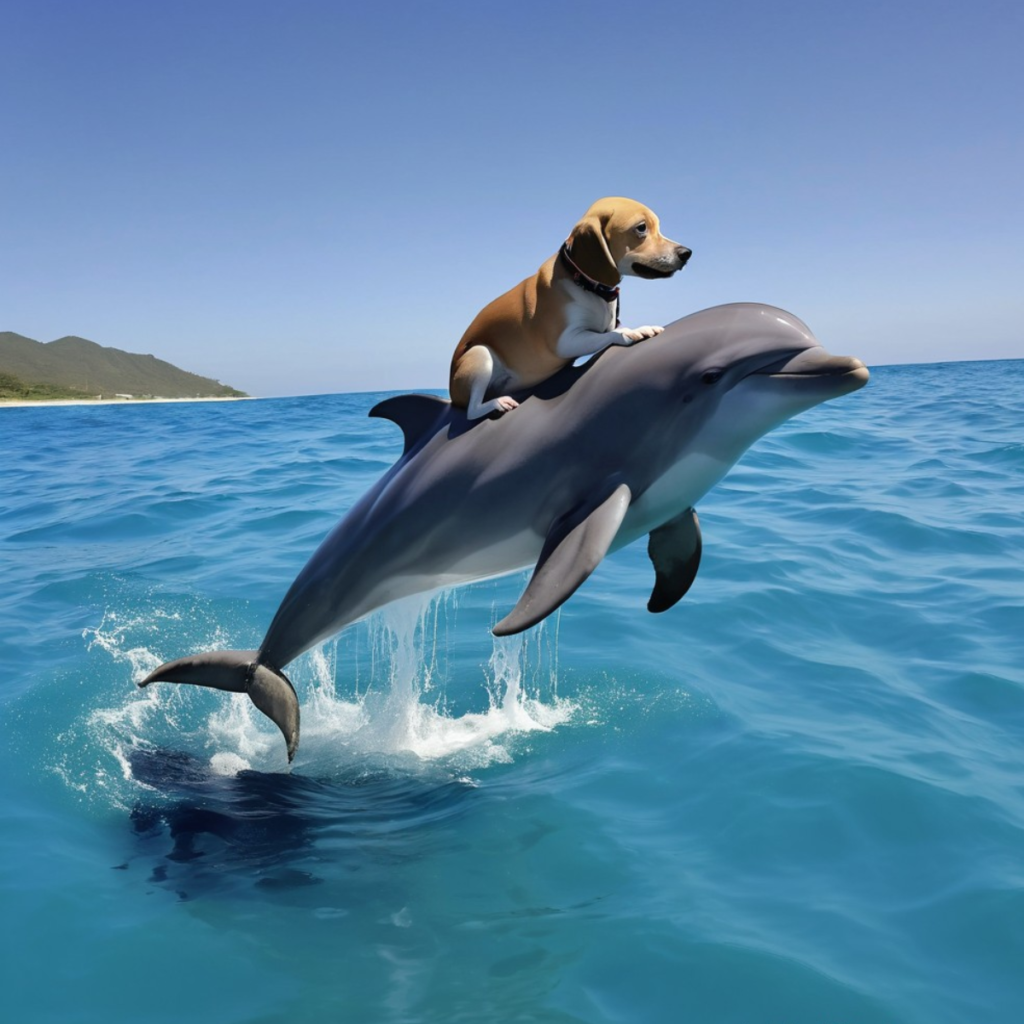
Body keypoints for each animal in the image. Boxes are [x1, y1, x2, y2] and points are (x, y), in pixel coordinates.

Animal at [446, 195, 688, 419]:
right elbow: (609, 334)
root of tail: (452, 393)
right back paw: (496, 403)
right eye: (641, 228)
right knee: (472, 410)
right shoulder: (565, 341)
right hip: (479, 353)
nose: (686, 253)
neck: (586, 283)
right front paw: (634, 331)